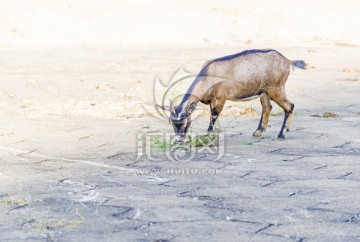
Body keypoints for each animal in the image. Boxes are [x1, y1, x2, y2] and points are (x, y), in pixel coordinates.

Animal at [158, 49, 306, 142]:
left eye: (185, 121)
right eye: (171, 122)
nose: (179, 140)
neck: (207, 77)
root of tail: (287, 61)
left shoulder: (221, 98)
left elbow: (214, 115)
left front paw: (208, 134)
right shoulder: (212, 101)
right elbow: (213, 115)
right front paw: (215, 133)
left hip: (275, 88)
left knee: (289, 106)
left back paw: (281, 134)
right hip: (264, 91)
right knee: (267, 107)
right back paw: (258, 132)